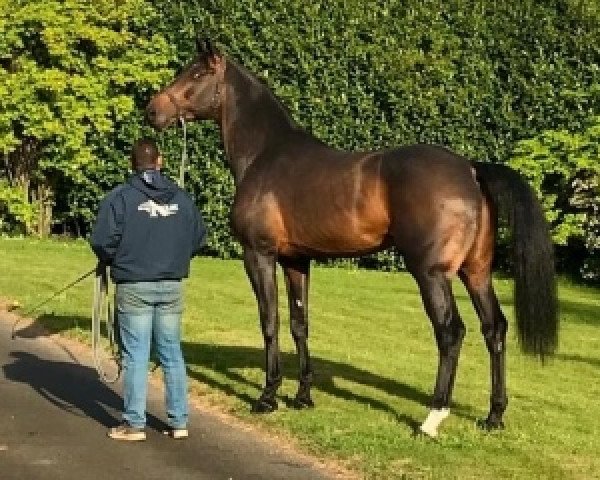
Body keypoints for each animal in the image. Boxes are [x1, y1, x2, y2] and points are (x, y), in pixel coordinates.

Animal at [146, 39, 556, 436]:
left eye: (196, 73)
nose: (152, 111)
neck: (265, 155)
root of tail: (471, 170)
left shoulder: (258, 254)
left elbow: (270, 320)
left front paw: (267, 396)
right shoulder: (296, 260)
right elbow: (299, 323)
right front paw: (303, 396)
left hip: (431, 274)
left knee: (450, 332)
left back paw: (432, 419)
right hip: (477, 272)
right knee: (494, 328)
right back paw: (494, 417)